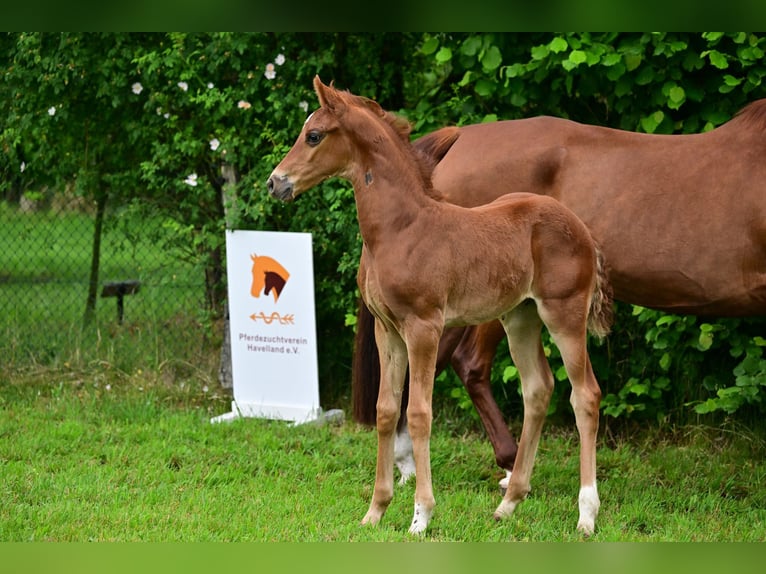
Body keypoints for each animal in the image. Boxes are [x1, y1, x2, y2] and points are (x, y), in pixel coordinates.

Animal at [268, 76, 612, 536]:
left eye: (314, 135)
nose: (275, 183)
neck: (400, 229)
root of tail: (582, 228)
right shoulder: (387, 330)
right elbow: (385, 411)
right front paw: (375, 511)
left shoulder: (423, 327)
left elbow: (418, 413)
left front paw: (421, 516)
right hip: (519, 317)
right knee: (538, 389)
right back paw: (508, 503)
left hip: (564, 315)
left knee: (585, 395)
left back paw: (586, 515)